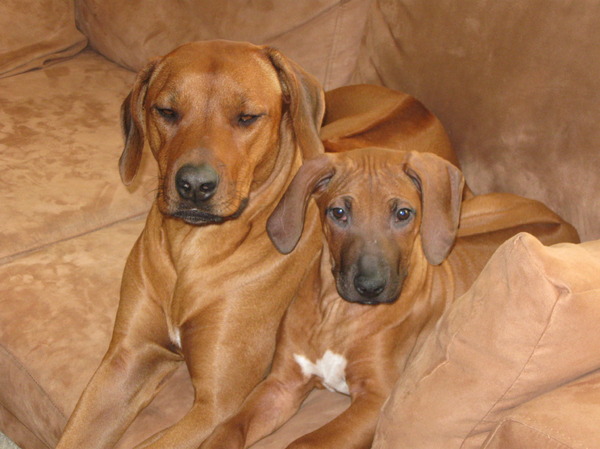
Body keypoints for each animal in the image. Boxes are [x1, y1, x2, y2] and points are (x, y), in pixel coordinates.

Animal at [55, 39, 328, 448]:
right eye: (167, 111)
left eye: (247, 117)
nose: (195, 186)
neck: (193, 248)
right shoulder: (127, 358)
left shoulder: (215, 407)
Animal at [199, 148, 580, 448]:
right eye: (339, 213)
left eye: (402, 214)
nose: (370, 286)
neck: (338, 313)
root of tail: (565, 223)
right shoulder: (281, 385)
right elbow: (228, 428)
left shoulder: (376, 401)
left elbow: (305, 443)